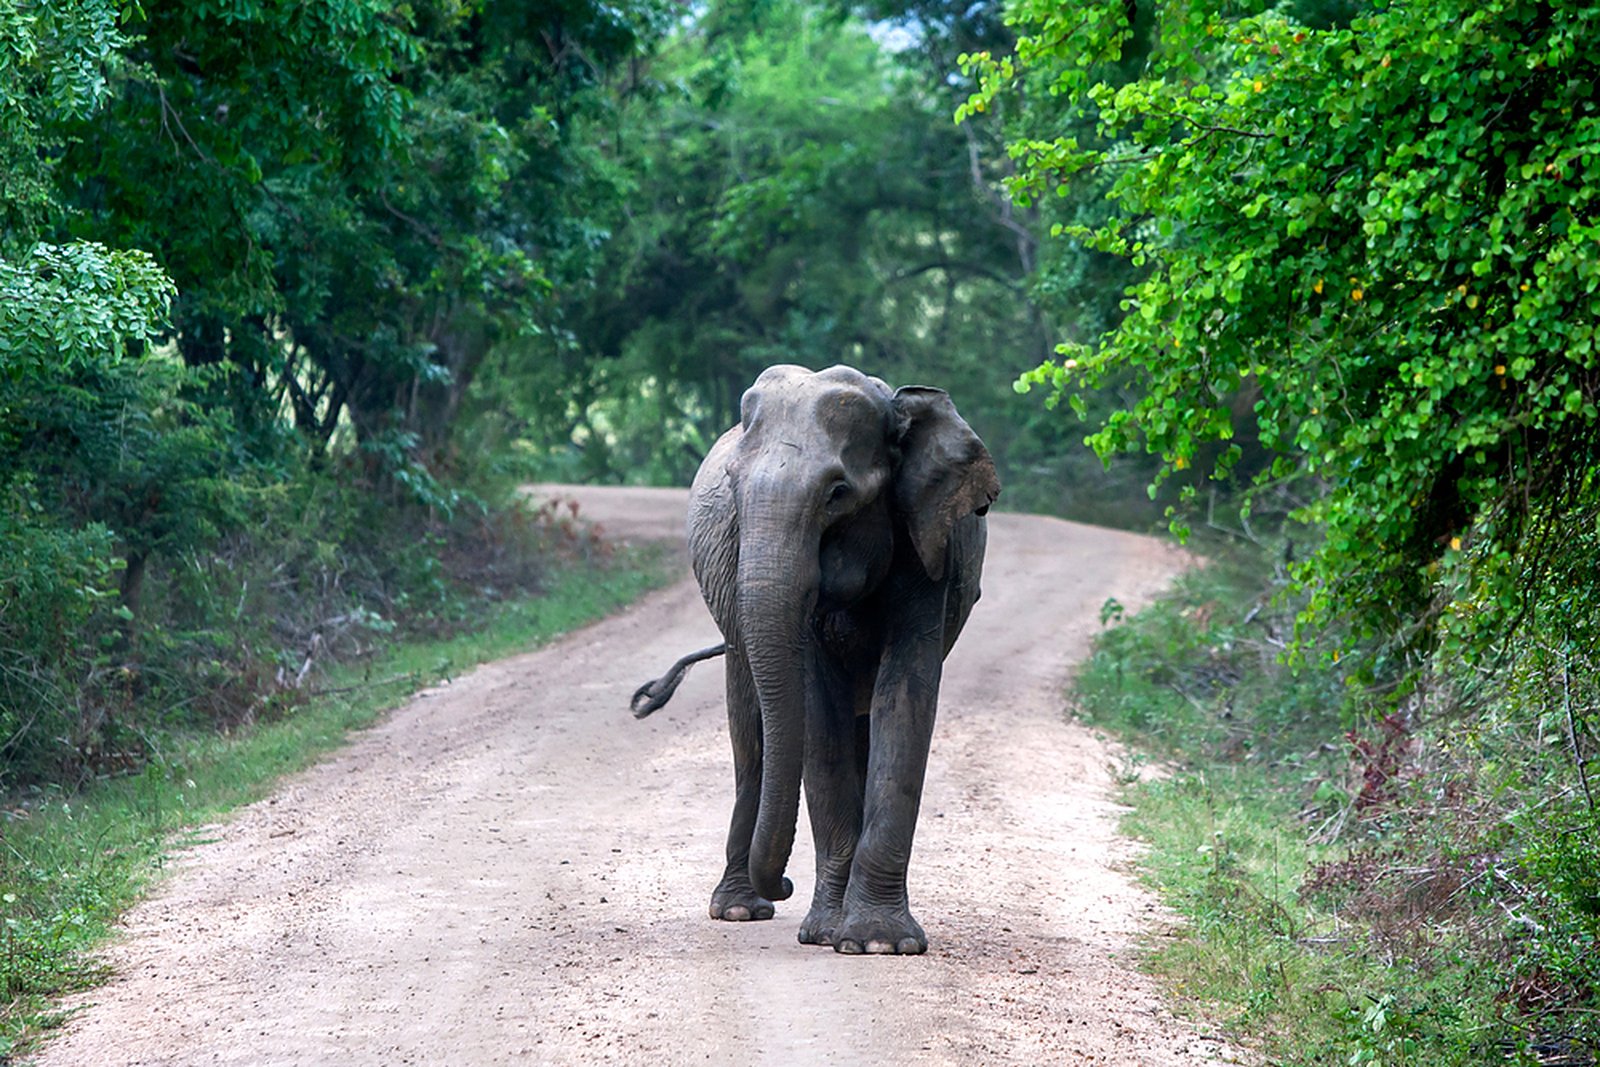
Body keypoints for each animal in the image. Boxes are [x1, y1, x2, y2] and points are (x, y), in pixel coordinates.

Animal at [633, 363, 999, 955]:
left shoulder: (928, 545)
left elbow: (906, 696)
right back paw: (739, 910)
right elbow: (817, 716)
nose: (784, 881)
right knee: (750, 734)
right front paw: (829, 934)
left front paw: (879, 943)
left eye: (838, 493)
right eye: (732, 487)